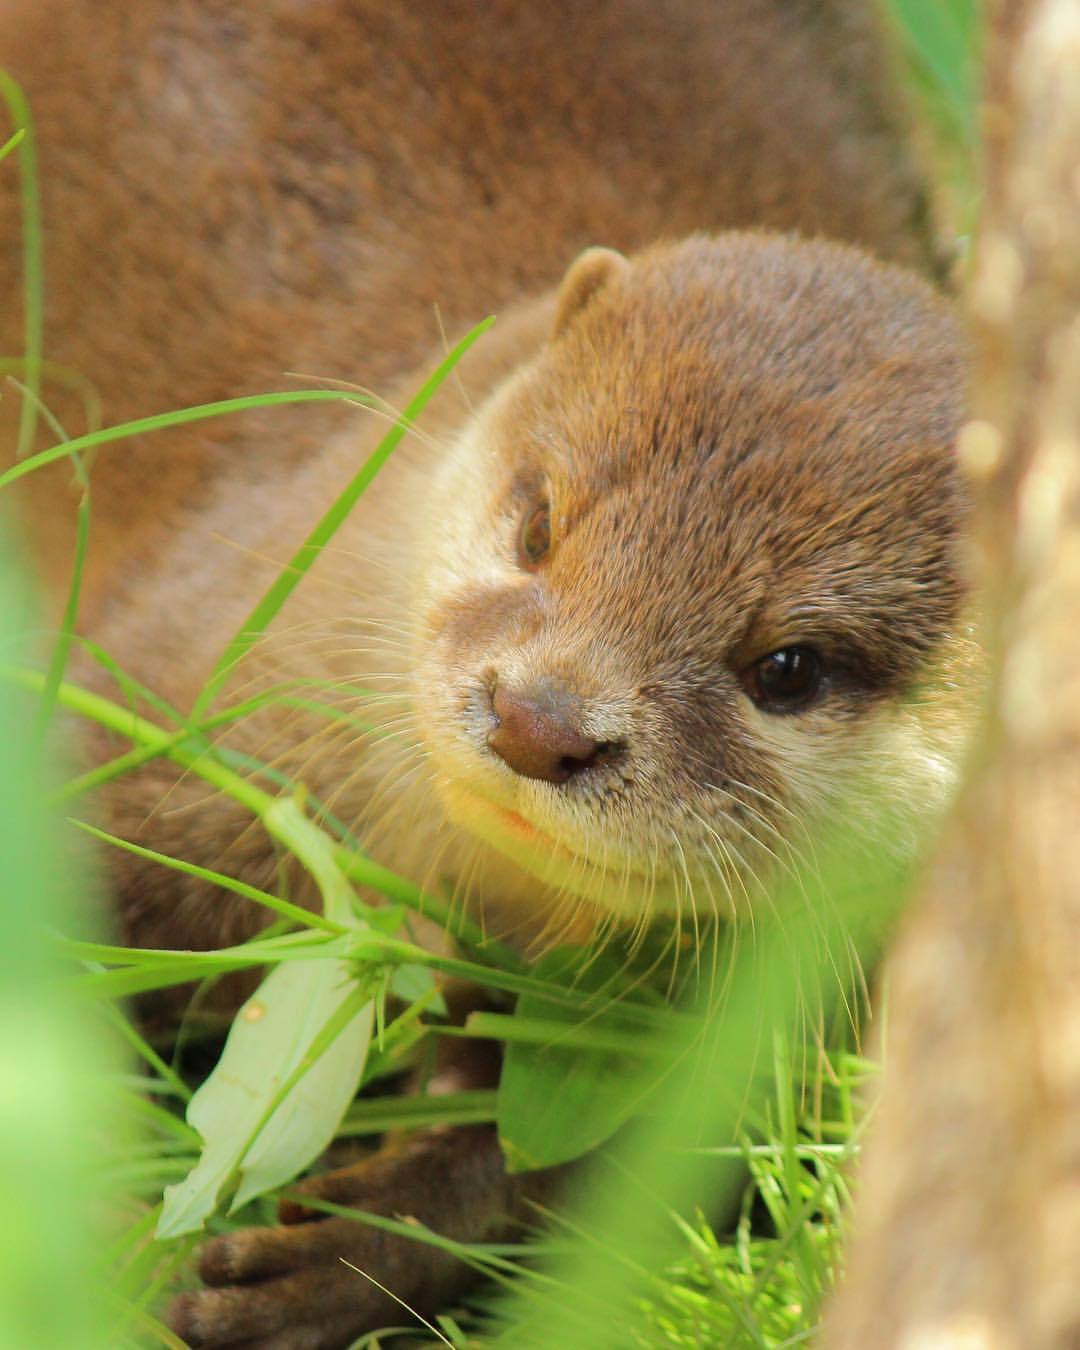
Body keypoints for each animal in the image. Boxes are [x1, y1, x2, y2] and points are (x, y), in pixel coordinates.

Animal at [0, 2, 972, 1350]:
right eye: (540, 522)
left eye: (787, 666)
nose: (537, 719)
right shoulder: (171, 707)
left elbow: (589, 1173)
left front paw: (325, 1258)